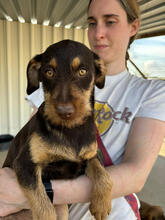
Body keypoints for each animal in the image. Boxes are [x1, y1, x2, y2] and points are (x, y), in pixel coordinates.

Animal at [2, 40, 112, 220]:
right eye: (49, 72)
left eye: (82, 71)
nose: (64, 111)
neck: (69, 130)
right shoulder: (25, 163)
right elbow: (44, 207)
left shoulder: (91, 156)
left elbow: (103, 174)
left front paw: (102, 205)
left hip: (63, 208)